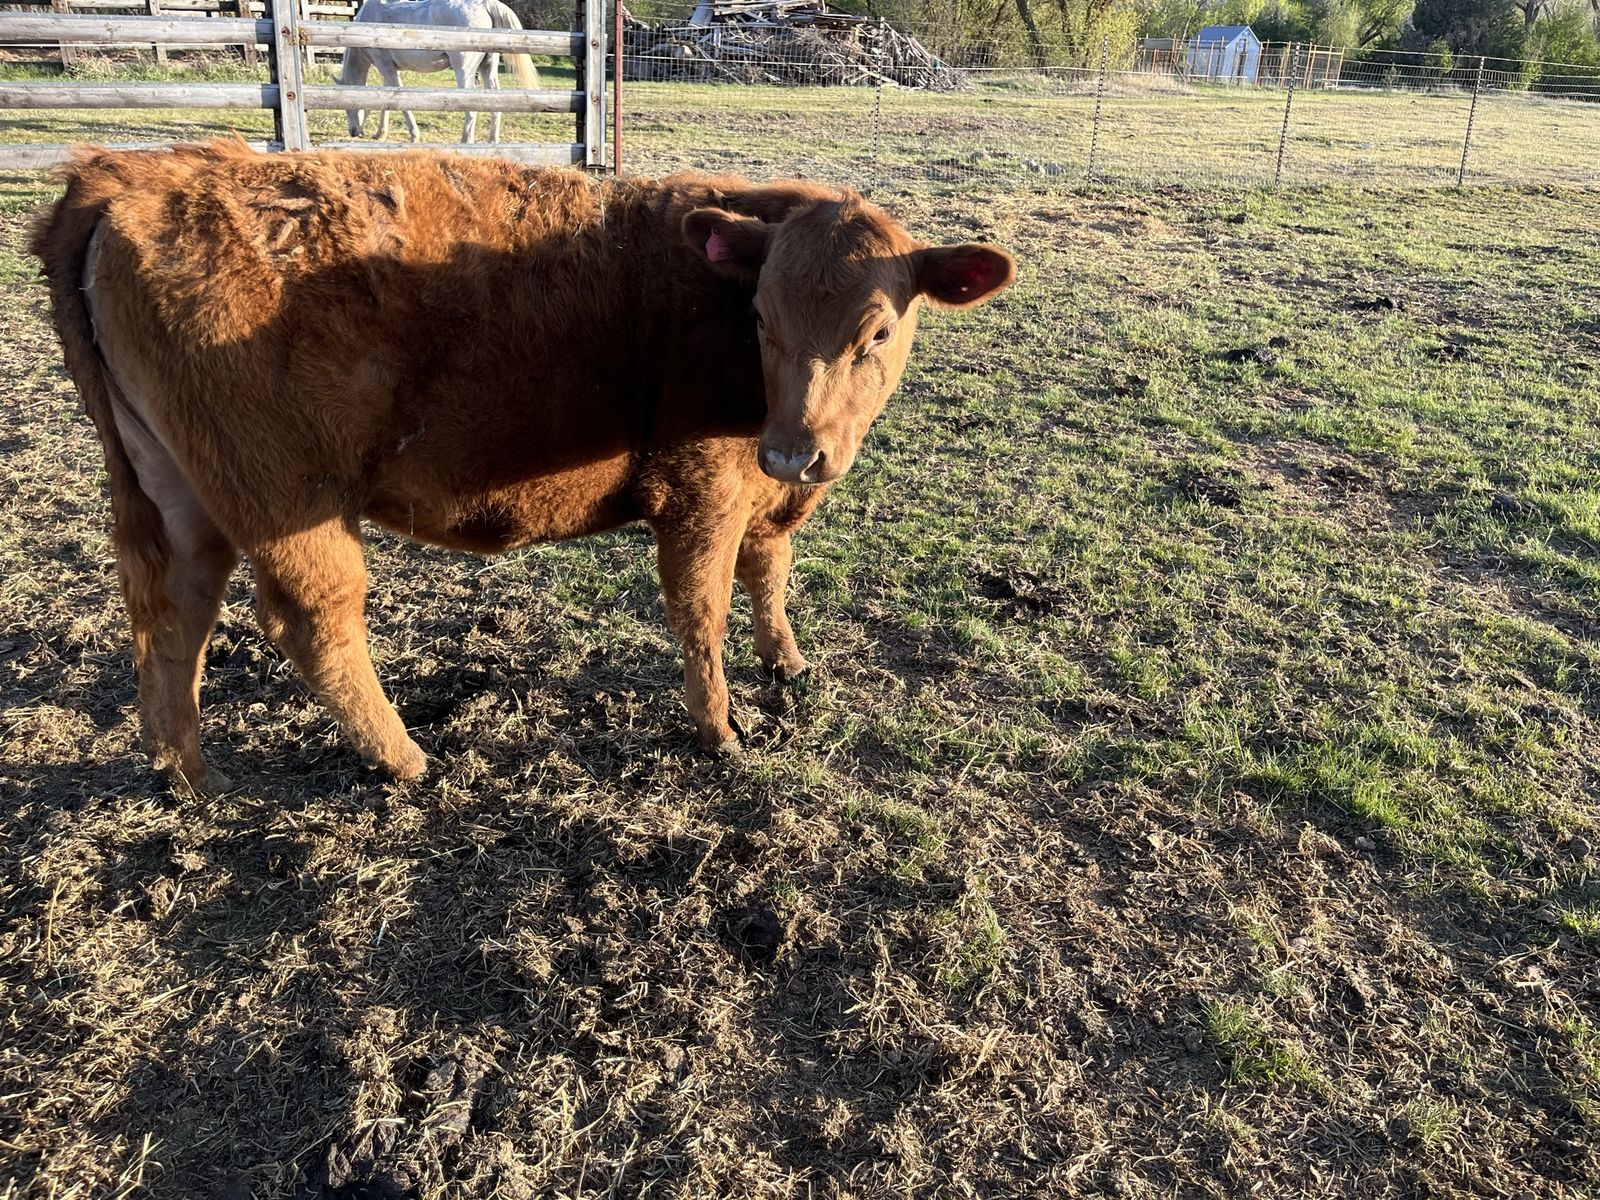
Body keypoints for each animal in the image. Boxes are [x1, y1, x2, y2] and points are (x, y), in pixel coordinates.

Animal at [32, 139, 1015, 791]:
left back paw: (186, 771)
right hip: (283, 494)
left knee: (172, 609)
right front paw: (719, 728)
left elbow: (768, 575)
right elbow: (702, 609)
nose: (793, 450)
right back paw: (404, 758)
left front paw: (789, 665)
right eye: (762, 319)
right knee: (310, 619)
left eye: (876, 332)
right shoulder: (700, 493)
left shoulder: (767, 498)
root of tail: (136, 174)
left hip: (176, 488)